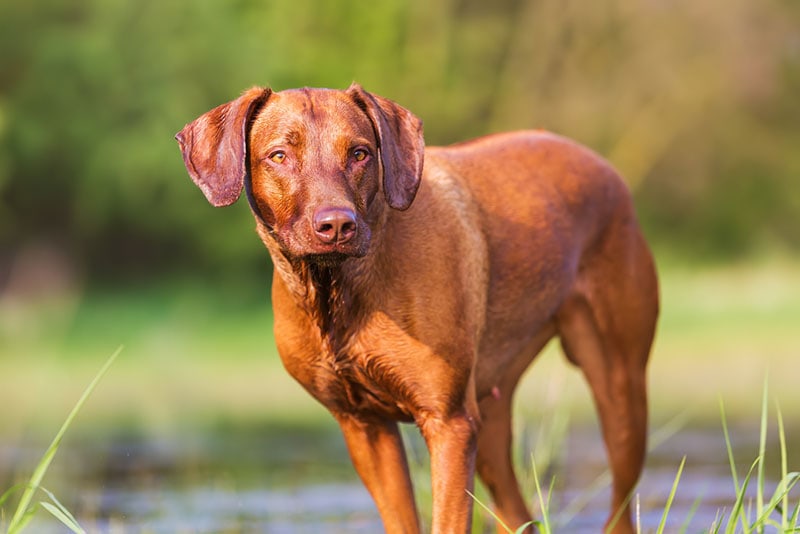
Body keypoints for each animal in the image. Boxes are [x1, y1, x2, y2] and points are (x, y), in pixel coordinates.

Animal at [178, 86, 660, 532]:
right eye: (278, 155)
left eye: (360, 153)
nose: (337, 225)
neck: (337, 294)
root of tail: (603, 164)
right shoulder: (364, 425)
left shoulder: (448, 422)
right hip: (490, 414)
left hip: (618, 386)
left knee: (620, 506)